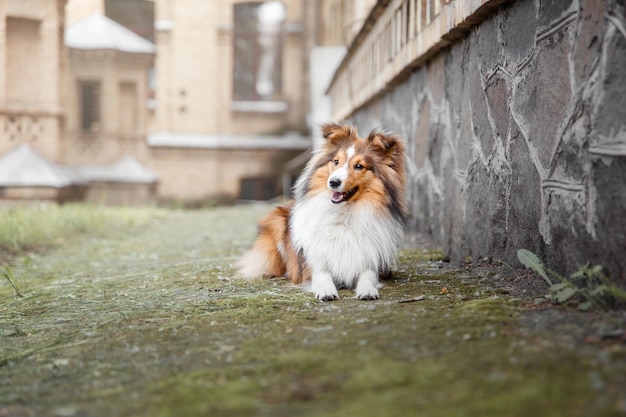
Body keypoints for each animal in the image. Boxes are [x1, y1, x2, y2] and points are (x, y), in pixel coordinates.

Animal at [236, 120, 408, 300]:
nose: (333, 182)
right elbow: (322, 274)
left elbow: (367, 275)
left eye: (359, 166)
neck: (343, 215)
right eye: (336, 161)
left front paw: (367, 290)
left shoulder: (371, 259)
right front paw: (326, 290)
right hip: (276, 221)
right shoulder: (313, 261)